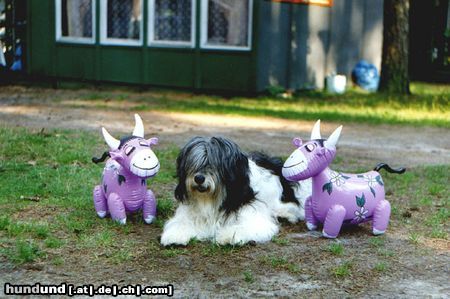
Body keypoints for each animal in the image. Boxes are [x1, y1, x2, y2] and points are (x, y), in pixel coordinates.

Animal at [161, 137, 312, 247]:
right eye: (193, 163)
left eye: (213, 163)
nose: (199, 178)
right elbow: (180, 223)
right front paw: (174, 235)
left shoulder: (253, 214)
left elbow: (243, 227)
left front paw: (227, 236)